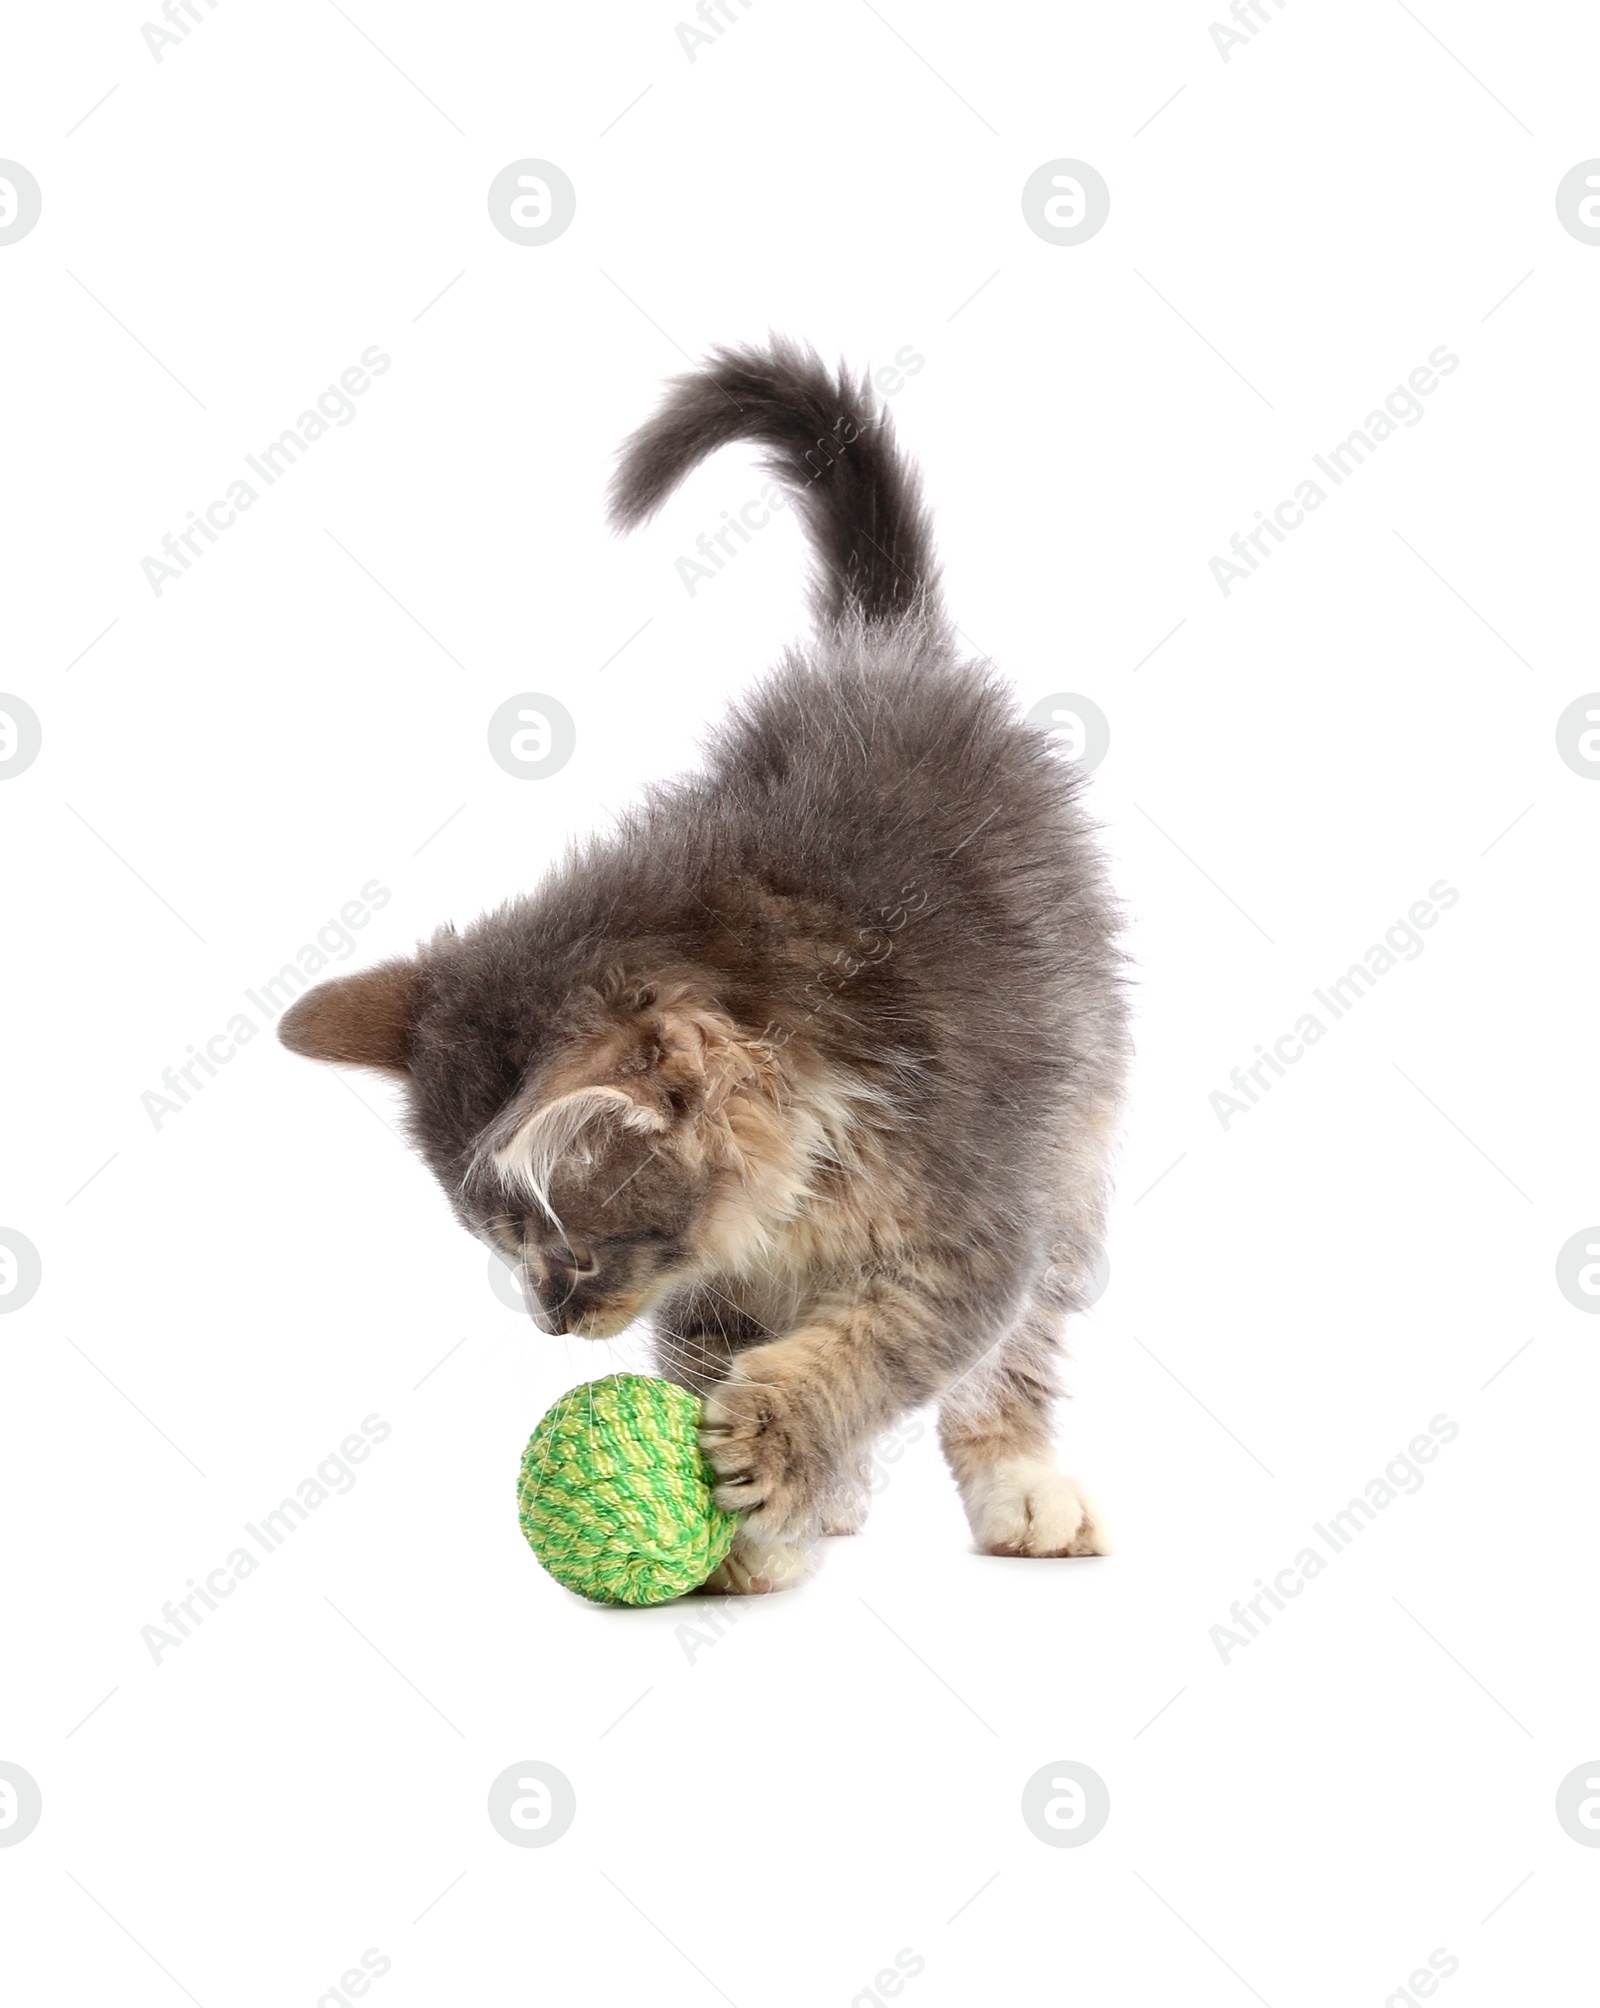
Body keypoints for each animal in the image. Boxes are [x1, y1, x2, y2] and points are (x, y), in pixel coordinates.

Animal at [281, 349, 1124, 1598]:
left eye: (572, 1253)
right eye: (503, 1255)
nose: (548, 1326)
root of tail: (879, 653)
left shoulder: (982, 1205)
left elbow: (902, 1336)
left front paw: (779, 1448)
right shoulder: (719, 1279)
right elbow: (706, 1346)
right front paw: (757, 1524)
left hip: (1076, 1136)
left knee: (1021, 1343)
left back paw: (1020, 1481)